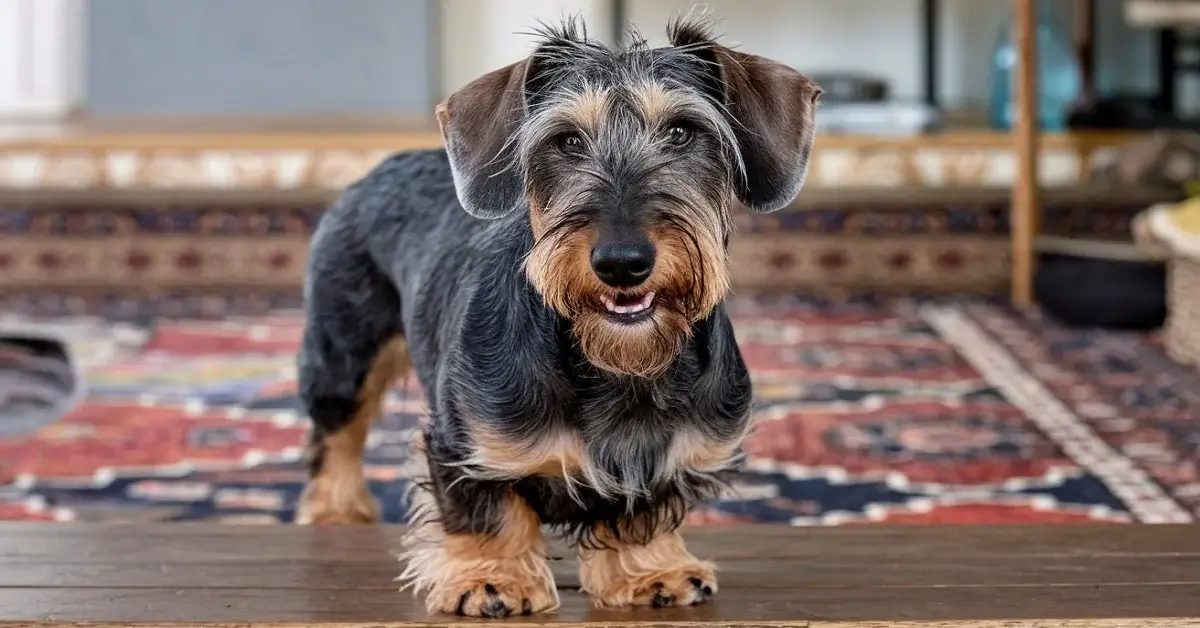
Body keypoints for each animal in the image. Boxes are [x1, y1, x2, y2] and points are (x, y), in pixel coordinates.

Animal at [295, 15, 820, 619]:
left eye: (682, 131)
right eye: (567, 140)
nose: (622, 262)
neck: (619, 365)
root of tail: (381, 166)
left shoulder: (664, 458)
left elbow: (642, 514)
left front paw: (650, 571)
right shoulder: (465, 443)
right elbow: (487, 513)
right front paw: (490, 578)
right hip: (344, 355)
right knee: (336, 436)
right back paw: (336, 511)